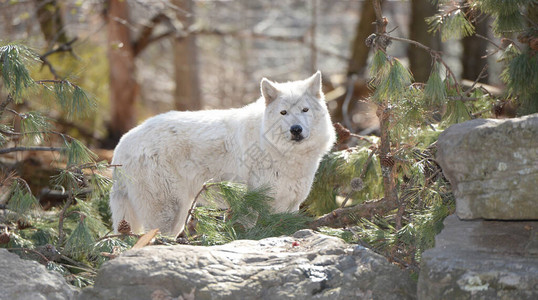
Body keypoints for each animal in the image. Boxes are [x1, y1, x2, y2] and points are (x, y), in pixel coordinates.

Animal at [109, 71, 336, 236]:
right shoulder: (254, 204)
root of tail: (122, 143)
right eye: (284, 113)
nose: (296, 129)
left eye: (305, 110)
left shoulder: (289, 205)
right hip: (168, 213)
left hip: (180, 212)